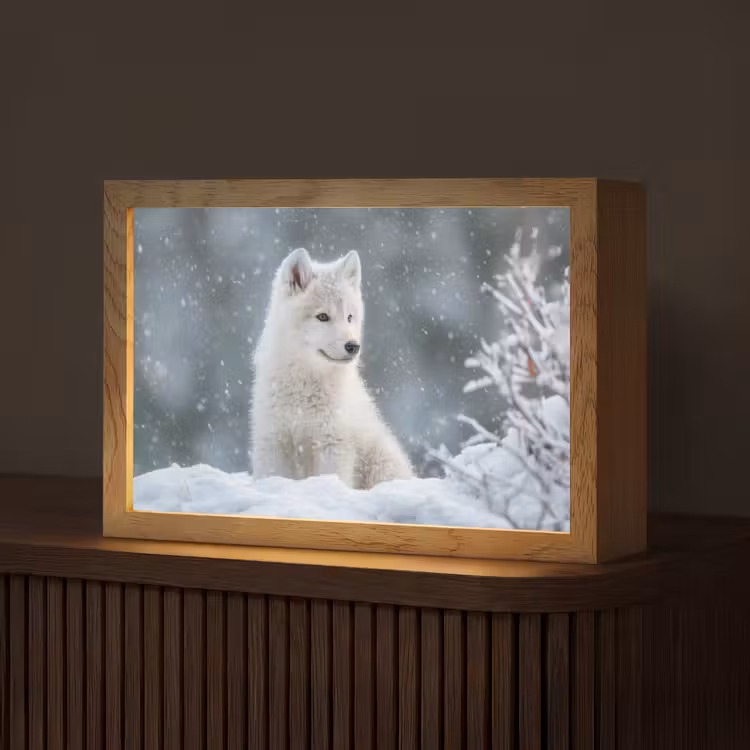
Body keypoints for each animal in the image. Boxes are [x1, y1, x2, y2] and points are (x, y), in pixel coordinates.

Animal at [250, 247, 414, 489]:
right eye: (322, 316)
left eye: (349, 317)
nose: (353, 346)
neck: (304, 389)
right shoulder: (274, 442)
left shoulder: (332, 444)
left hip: (381, 461)